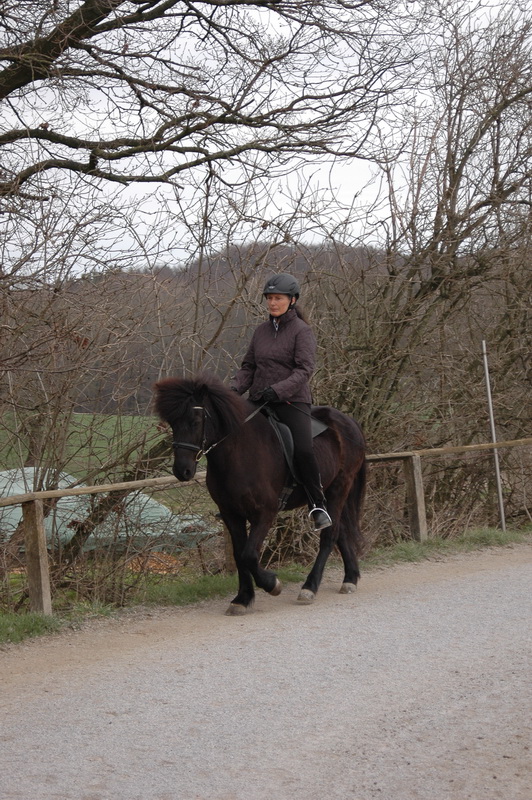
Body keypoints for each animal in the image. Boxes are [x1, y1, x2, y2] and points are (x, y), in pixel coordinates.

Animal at [155, 373, 366, 615]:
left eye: (196, 421)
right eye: (172, 423)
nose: (182, 471)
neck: (239, 453)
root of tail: (349, 422)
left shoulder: (265, 513)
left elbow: (249, 554)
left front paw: (272, 584)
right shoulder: (231, 514)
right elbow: (239, 556)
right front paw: (243, 598)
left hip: (339, 487)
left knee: (329, 535)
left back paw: (309, 587)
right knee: (340, 531)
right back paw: (350, 578)